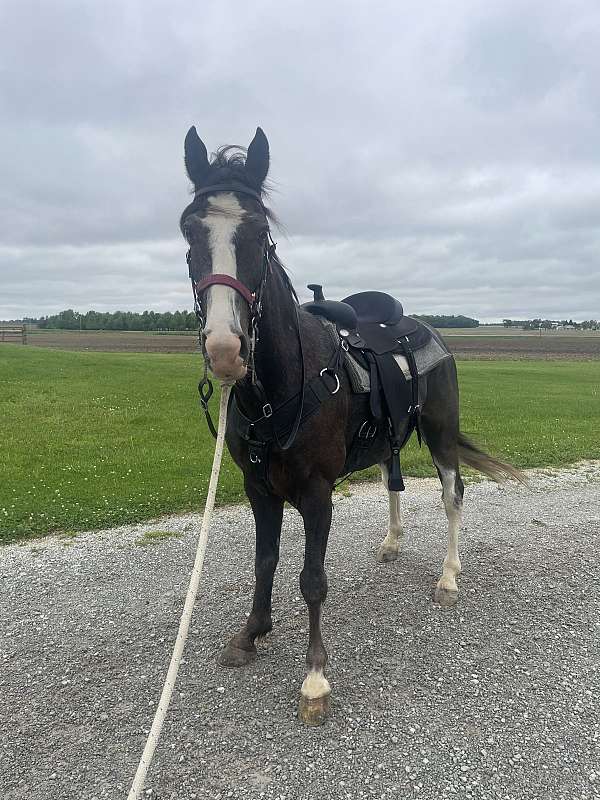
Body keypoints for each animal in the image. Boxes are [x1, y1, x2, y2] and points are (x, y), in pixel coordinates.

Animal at [179, 126, 522, 725]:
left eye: (260, 233)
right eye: (188, 228)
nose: (225, 350)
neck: (281, 388)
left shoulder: (318, 493)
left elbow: (312, 581)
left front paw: (315, 678)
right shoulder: (257, 488)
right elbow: (265, 560)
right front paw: (251, 633)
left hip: (440, 433)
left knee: (453, 494)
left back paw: (448, 577)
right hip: (391, 440)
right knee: (392, 481)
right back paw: (392, 542)